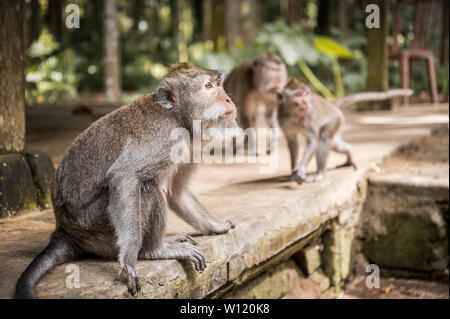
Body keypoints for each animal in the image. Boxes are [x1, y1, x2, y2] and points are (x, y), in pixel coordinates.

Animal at [14, 63, 239, 300]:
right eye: (208, 86)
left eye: (218, 84)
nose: (227, 99)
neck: (178, 117)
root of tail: (65, 231)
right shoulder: (164, 136)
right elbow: (124, 176)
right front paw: (130, 260)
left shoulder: (191, 145)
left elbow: (176, 191)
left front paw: (215, 226)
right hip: (97, 227)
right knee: (148, 187)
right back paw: (155, 250)